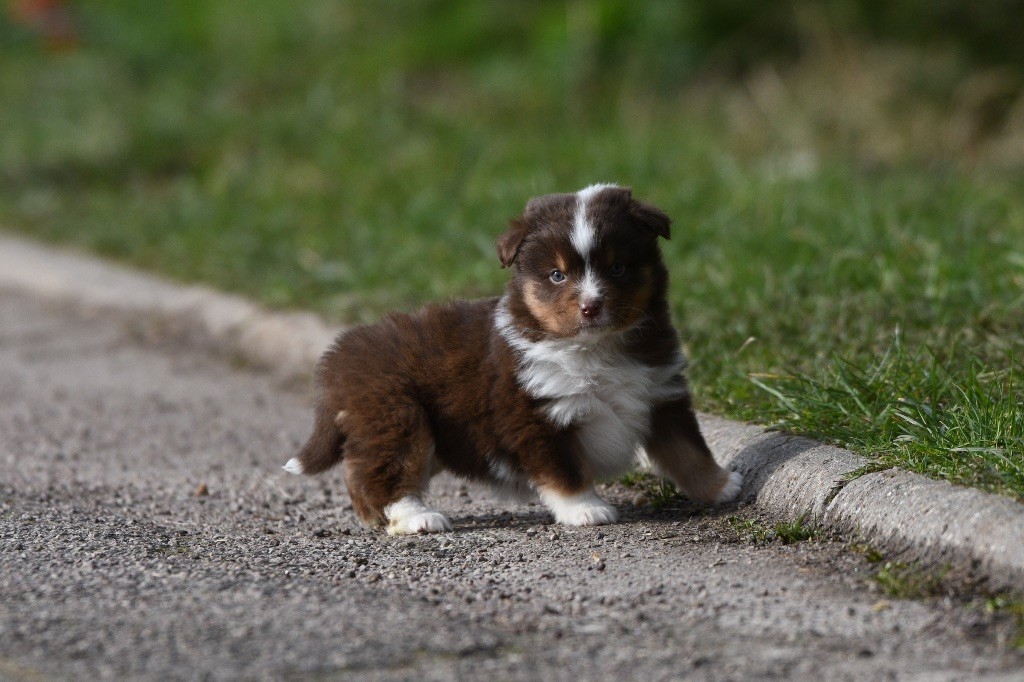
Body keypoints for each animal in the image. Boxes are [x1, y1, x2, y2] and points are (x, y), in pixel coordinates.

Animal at [284, 184, 741, 532]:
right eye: (557, 275)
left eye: (618, 268)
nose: (591, 307)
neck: (595, 349)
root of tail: (342, 354)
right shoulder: (538, 412)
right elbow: (564, 470)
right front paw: (586, 509)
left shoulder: (662, 395)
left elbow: (689, 451)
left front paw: (721, 486)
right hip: (397, 418)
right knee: (383, 474)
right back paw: (417, 518)